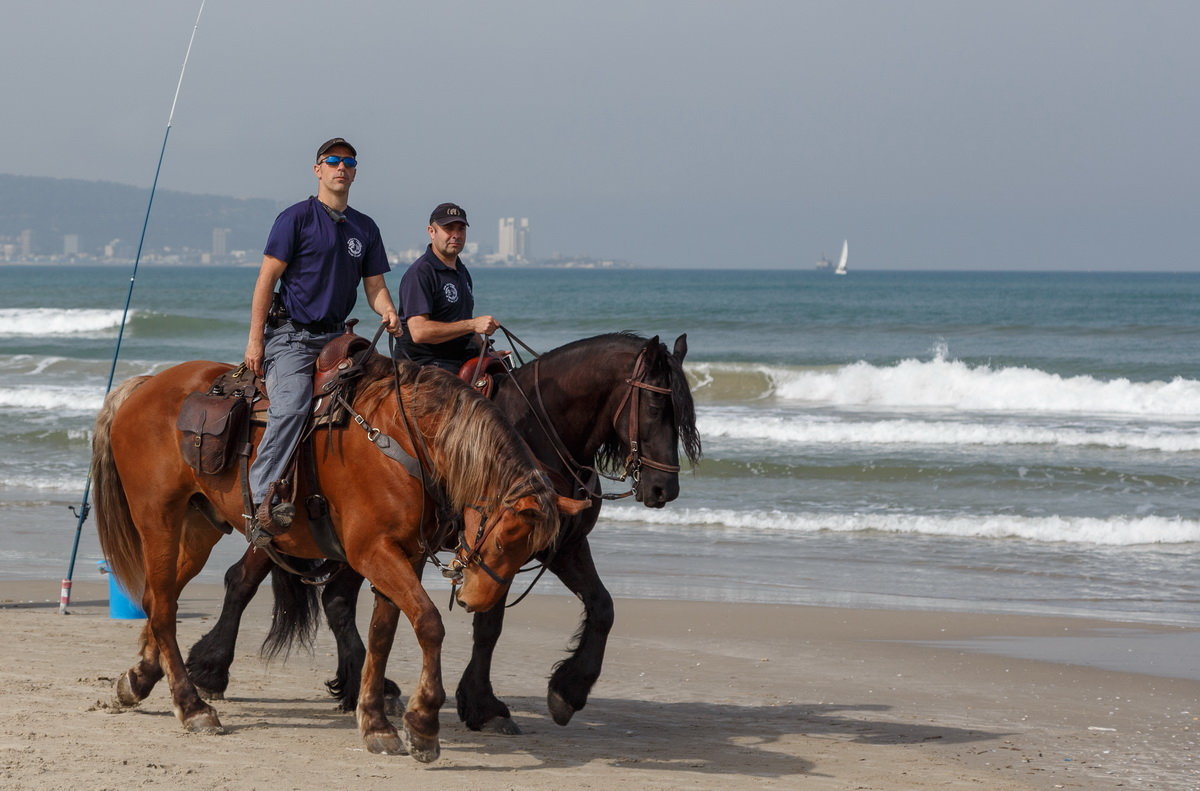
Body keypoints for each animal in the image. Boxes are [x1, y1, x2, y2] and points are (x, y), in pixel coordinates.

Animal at [91, 357, 583, 763]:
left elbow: (383, 633)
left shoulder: (405, 555)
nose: (475, 601)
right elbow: (427, 623)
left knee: (159, 599)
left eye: (528, 551)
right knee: (165, 607)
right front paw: (423, 723)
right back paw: (191, 705)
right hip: (159, 519)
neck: (405, 440)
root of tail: (145, 385)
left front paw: (375, 722)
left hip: (199, 526)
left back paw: (139, 679)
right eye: (503, 541)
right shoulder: (373, 552)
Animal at [182, 331, 700, 734]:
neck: (536, 429)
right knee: (242, 580)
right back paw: (211, 668)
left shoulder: (562, 545)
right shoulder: (491, 549)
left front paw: (567, 690)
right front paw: (484, 704)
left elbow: (602, 607)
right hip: (296, 528)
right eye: (657, 403)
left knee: (334, 600)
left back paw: (359, 684)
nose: (664, 488)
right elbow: (489, 625)